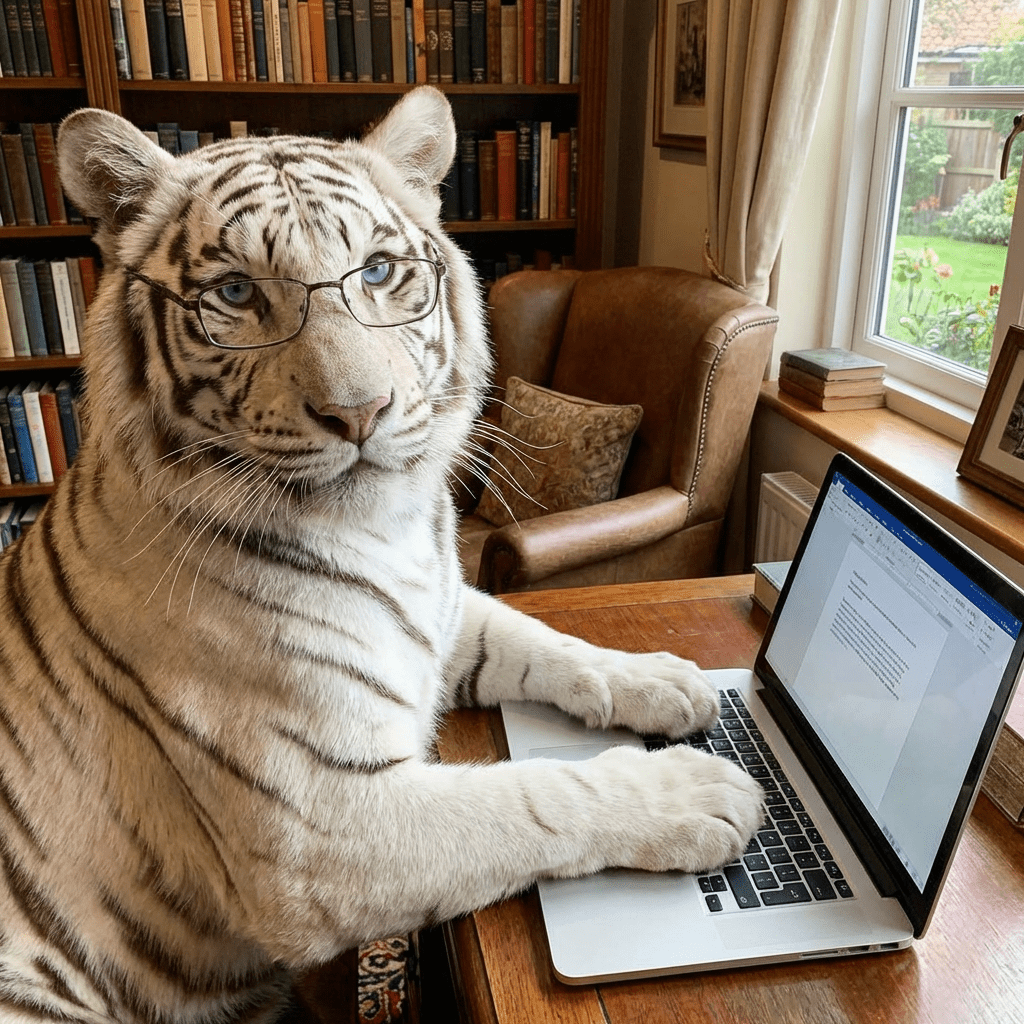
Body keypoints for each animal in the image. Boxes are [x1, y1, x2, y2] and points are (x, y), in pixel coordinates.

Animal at [0, 86, 763, 1023]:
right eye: (235, 292)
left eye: (374, 271)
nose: (359, 412)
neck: (384, 537)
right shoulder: (326, 831)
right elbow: (534, 794)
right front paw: (697, 791)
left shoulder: (444, 610)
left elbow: (552, 643)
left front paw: (667, 679)